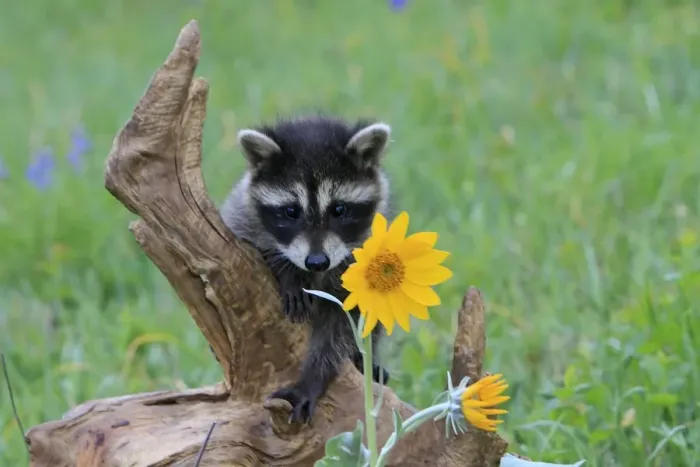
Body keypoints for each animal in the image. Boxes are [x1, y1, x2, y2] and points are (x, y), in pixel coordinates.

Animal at [220, 115, 394, 423]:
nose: (316, 261)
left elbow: (344, 327)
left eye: (339, 210)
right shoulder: (240, 221)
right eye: (291, 211)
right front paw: (289, 272)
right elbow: (256, 248)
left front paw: (313, 376)